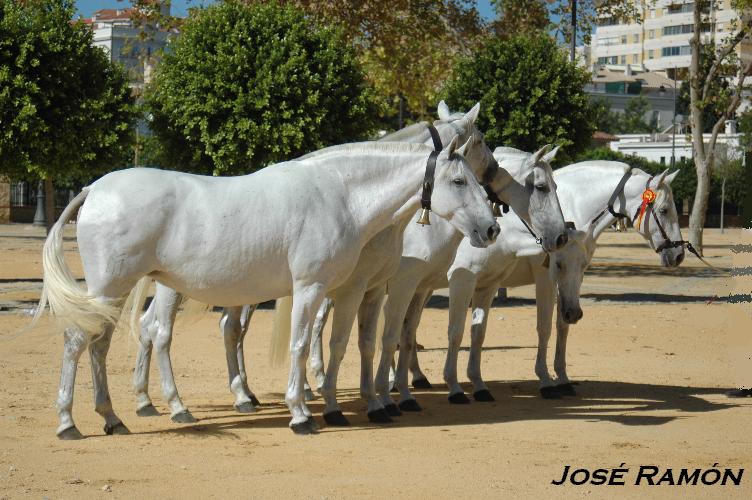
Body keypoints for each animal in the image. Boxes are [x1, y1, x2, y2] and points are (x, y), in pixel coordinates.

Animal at [39, 137, 500, 438]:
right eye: (460, 181)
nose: (492, 228)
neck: (341, 195)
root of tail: (95, 188)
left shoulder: (343, 292)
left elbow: (341, 344)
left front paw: (336, 407)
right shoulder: (311, 287)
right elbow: (301, 345)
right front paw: (302, 415)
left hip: (118, 290)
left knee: (101, 344)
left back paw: (114, 417)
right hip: (109, 286)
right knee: (79, 340)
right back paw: (69, 422)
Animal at [408, 162, 684, 400]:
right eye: (664, 210)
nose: (679, 254)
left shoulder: (573, 277)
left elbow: (562, 325)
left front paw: (562, 379)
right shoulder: (546, 277)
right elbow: (545, 327)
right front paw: (545, 381)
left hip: (424, 288)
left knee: (409, 324)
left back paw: (418, 377)